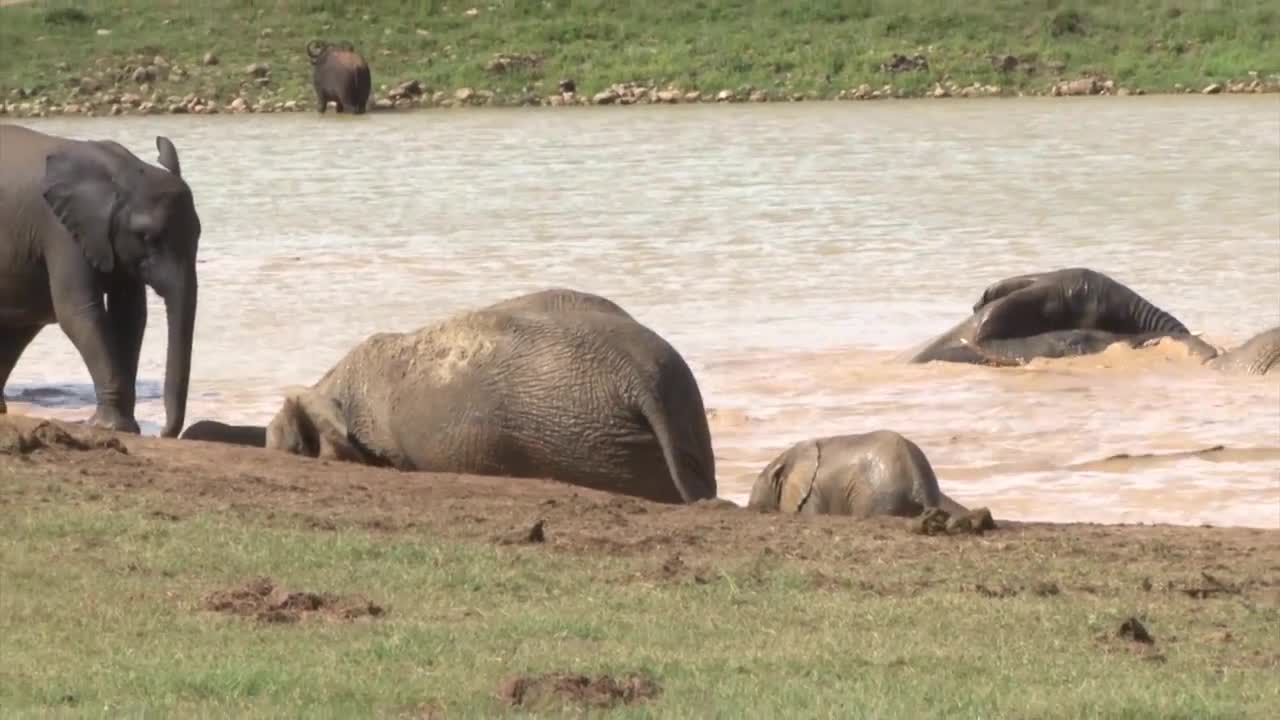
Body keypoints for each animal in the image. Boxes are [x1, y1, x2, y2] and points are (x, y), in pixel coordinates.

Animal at [0, 121, 199, 438]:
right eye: (146, 237)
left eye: (198, 234)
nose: (164, 433)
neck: (122, 173)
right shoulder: (60, 231)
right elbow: (80, 312)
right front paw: (112, 427)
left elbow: (129, 316)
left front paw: (123, 427)